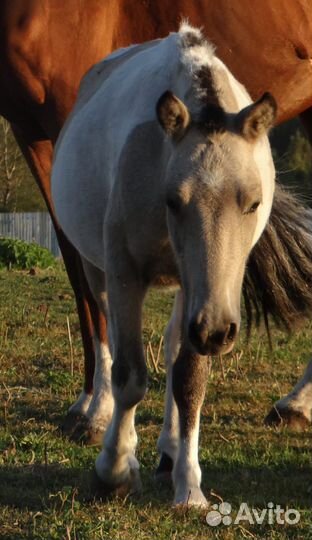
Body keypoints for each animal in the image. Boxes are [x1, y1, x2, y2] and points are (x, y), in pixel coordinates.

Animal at [1, 0, 312, 442]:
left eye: (254, 203)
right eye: (172, 200)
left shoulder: (57, 115)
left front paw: (97, 408)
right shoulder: (30, 130)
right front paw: (96, 406)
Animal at [51, 25, 276, 506]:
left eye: (252, 203)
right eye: (173, 200)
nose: (216, 332)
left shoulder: (207, 290)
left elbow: (189, 377)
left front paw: (189, 488)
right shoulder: (124, 272)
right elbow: (130, 375)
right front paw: (114, 470)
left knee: (175, 343)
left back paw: (171, 452)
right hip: (99, 270)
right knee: (107, 337)